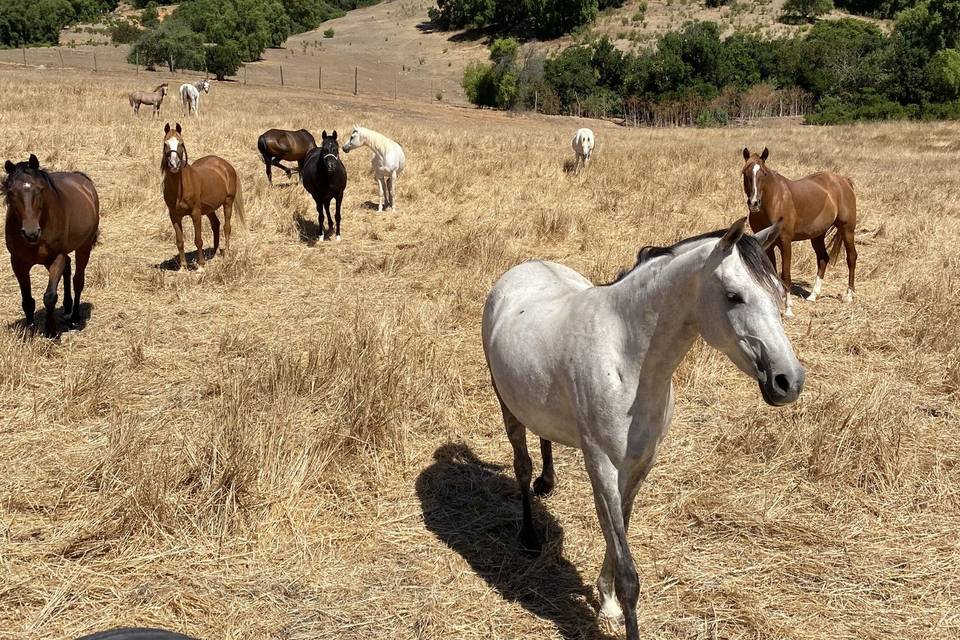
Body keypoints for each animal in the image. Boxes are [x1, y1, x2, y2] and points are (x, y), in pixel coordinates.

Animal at [2, 154, 100, 336]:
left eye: (41, 189)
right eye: (11, 191)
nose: (31, 233)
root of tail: (84, 182)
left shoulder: (56, 258)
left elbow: (50, 296)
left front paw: (50, 331)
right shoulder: (18, 262)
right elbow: (27, 299)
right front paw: (30, 329)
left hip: (84, 246)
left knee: (78, 280)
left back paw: (75, 318)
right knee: (68, 267)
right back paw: (67, 308)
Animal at [161, 122, 244, 270]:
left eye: (181, 143)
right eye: (166, 144)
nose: (174, 165)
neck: (180, 188)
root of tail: (226, 165)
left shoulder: (196, 212)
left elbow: (198, 239)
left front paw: (200, 265)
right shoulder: (174, 215)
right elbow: (179, 241)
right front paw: (182, 267)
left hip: (228, 202)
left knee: (226, 227)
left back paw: (227, 254)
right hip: (209, 209)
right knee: (216, 225)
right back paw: (214, 253)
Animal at [480, 218, 804, 636]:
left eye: (780, 293)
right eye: (734, 296)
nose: (789, 381)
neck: (625, 358)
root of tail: (520, 271)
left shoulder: (639, 464)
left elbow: (618, 535)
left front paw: (605, 601)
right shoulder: (602, 466)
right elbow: (627, 569)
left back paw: (547, 484)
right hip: (507, 405)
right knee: (521, 466)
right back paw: (530, 536)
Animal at [744, 145, 856, 316]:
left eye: (764, 173)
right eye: (745, 173)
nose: (754, 203)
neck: (775, 201)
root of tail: (843, 181)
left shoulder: (785, 242)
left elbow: (785, 275)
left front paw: (788, 309)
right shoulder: (768, 245)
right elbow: (772, 274)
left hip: (847, 229)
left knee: (851, 258)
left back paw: (848, 296)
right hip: (817, 235)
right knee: (823, 259)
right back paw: (813, 296)